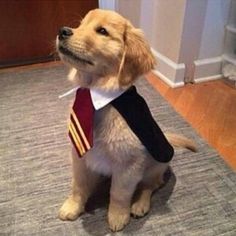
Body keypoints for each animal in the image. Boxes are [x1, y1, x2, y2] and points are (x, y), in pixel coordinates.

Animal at [55, 8, 195, 230]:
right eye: (81, 24)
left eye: (102, 31)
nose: (63, 31)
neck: (97, 94)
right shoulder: (79, 156)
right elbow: (78, 185)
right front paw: (73, 206)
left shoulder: (128, 166)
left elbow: (119, 194)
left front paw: (118, 216)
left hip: (155, 165)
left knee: (150, 186)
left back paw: (139, 205)